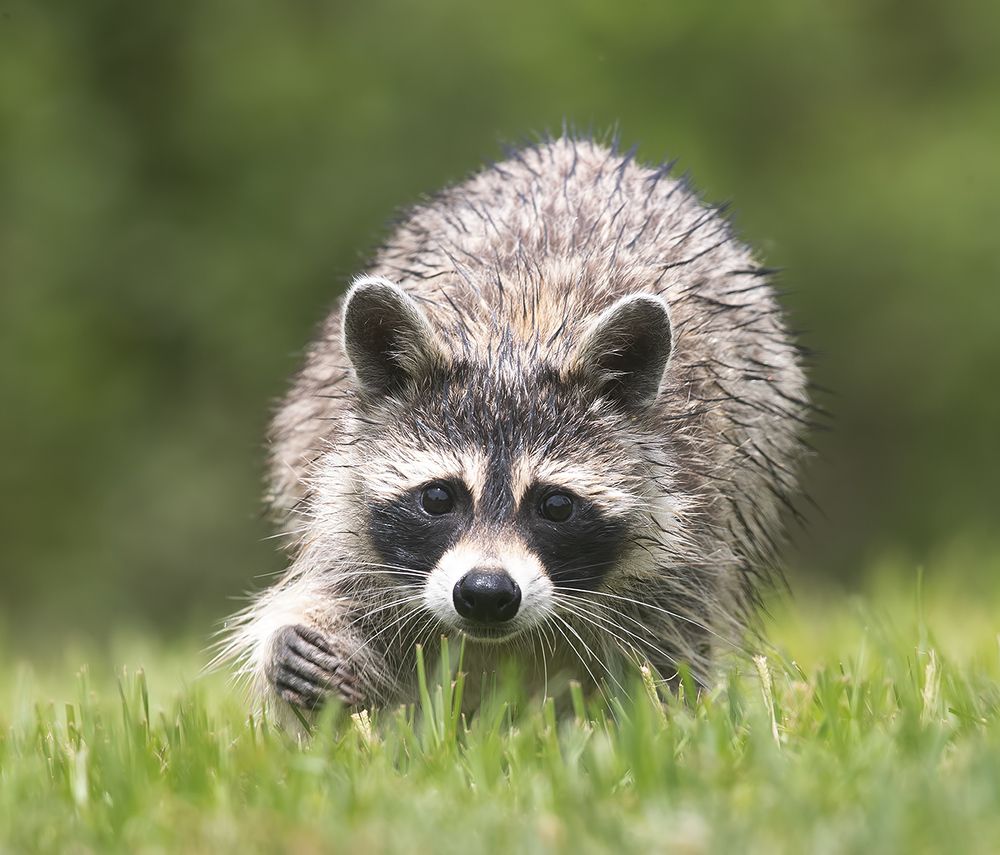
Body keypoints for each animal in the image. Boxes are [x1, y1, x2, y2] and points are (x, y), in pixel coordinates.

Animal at [220, 136, 810, 713]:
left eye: (556, 505)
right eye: (438, 497)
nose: (485, 593)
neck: (514, 341)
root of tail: (578, 149)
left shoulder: (693, 535)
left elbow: (665, 665)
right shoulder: (344, 508)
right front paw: (295, 643)